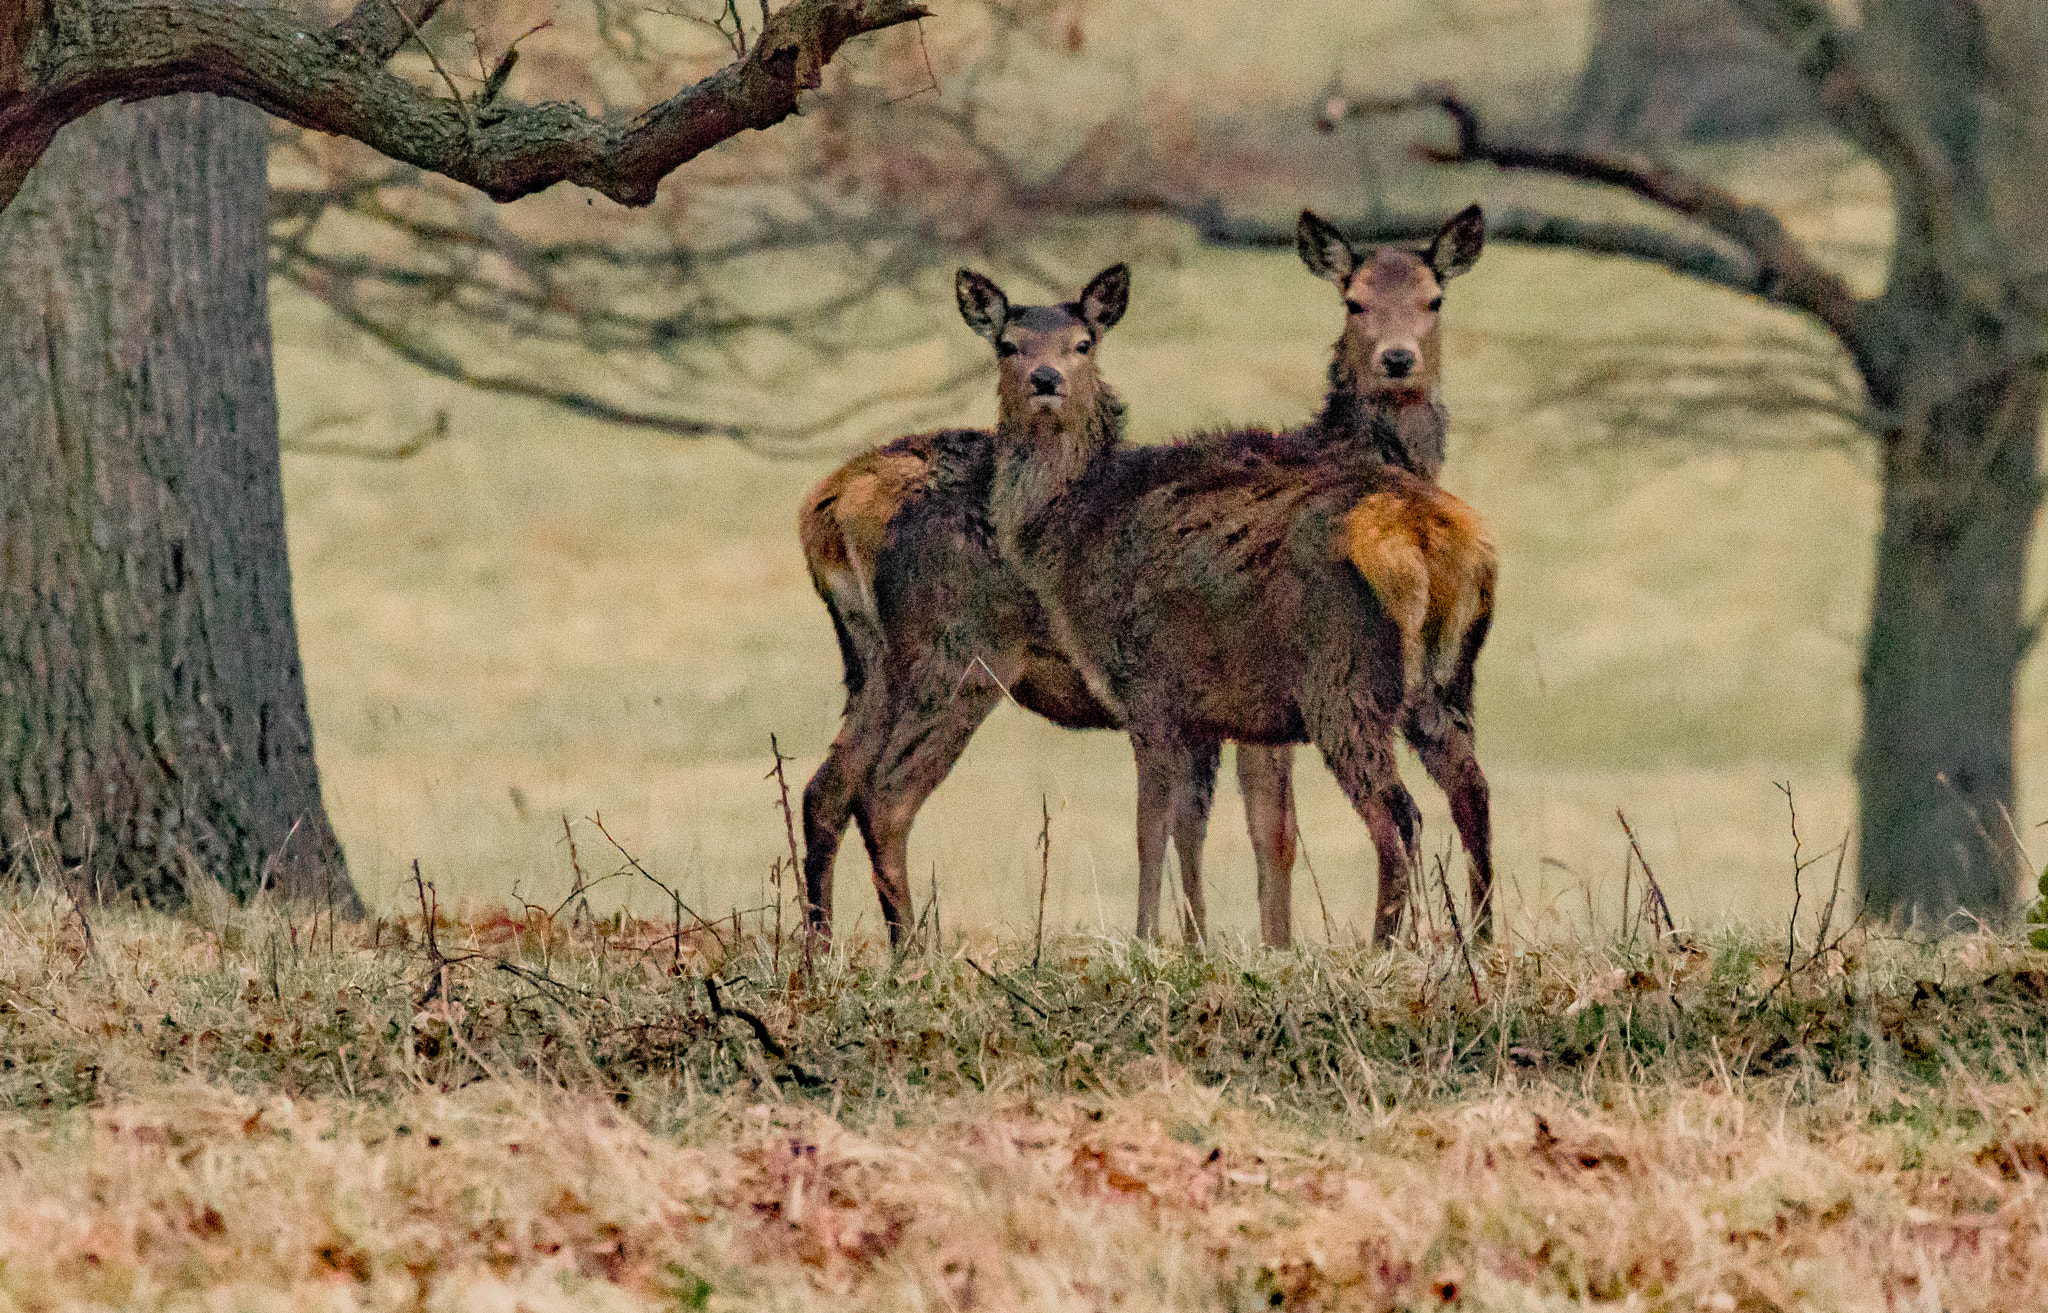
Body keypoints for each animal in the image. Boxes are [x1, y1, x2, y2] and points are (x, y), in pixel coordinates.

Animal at [798, 205, 1490, 947]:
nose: (1398, 359)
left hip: (877, 666)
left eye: (1435, 299)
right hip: (957, 656)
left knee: (827, 788)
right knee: (882, 793)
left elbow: (1228, 829)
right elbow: (1263, 832)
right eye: (1353, 301)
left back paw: (825, 947)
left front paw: (1211, 942)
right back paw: (905, 947)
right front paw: (1246, 944)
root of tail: (832, 502)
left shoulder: (1219, 705)